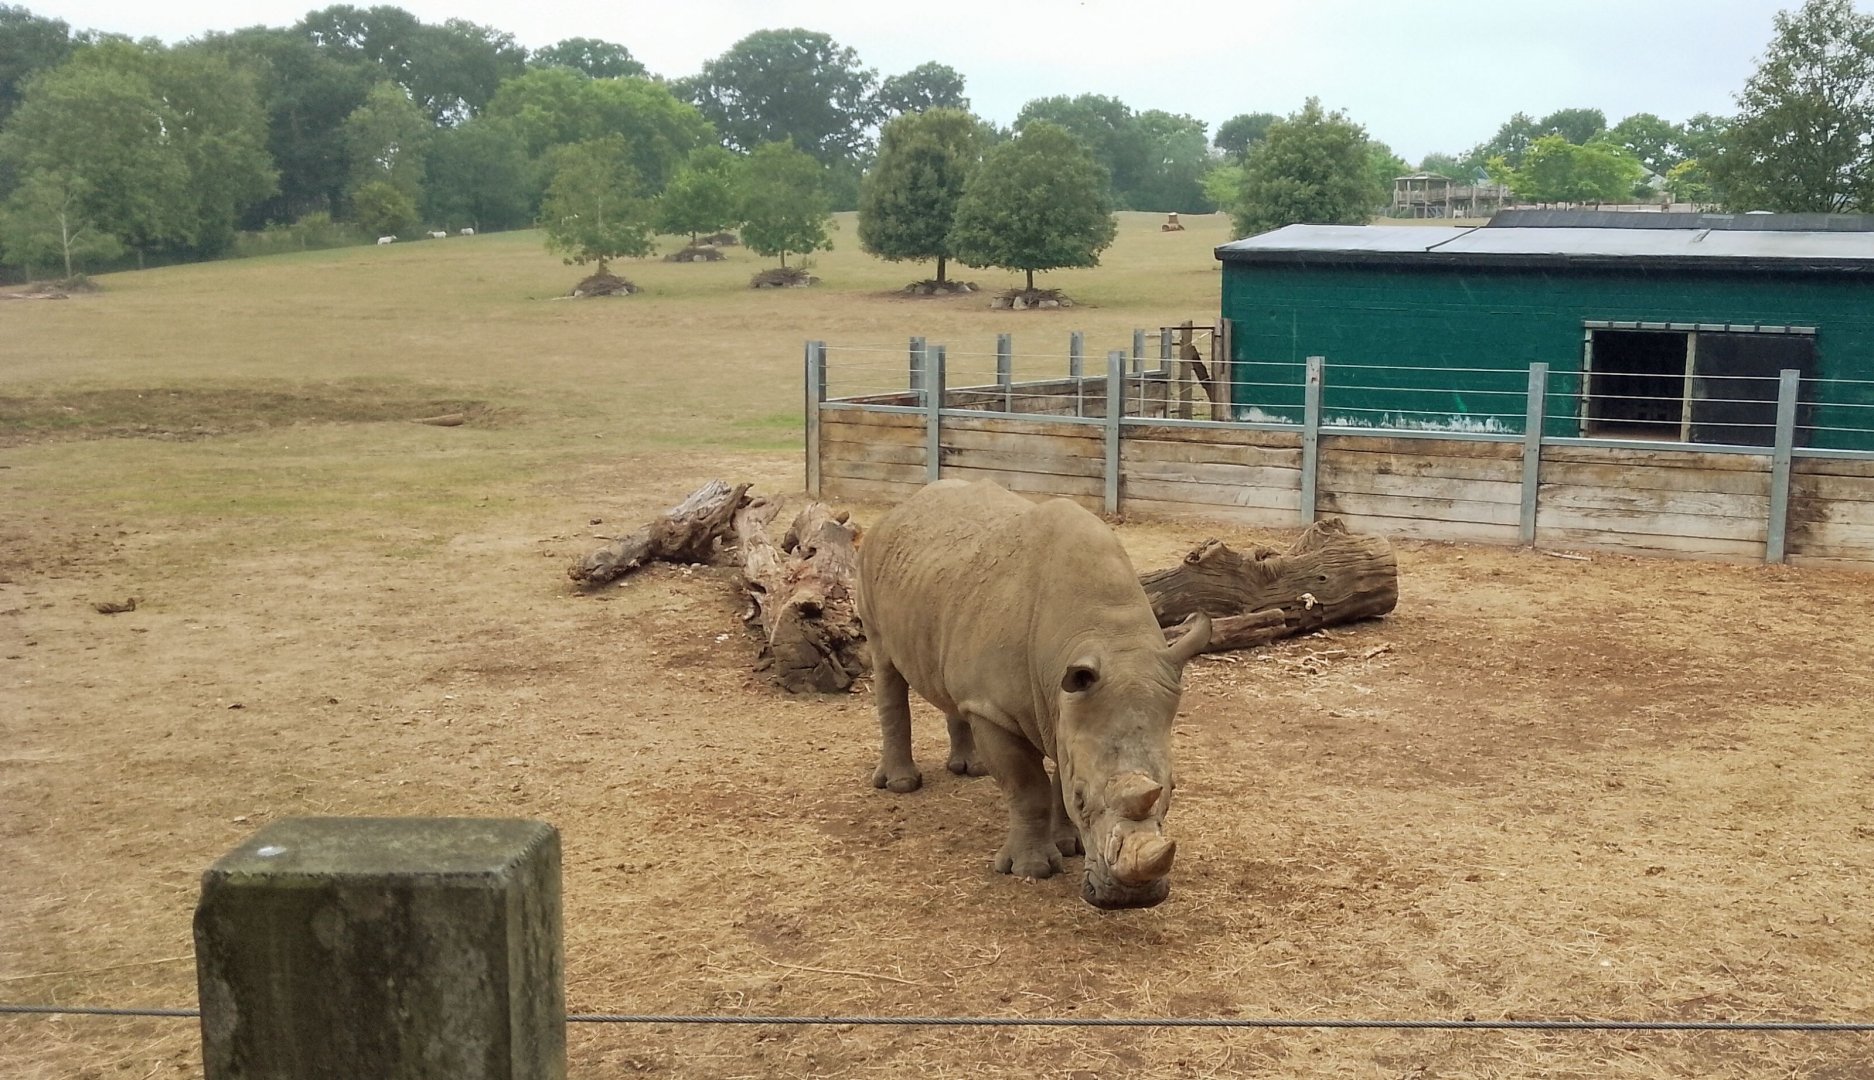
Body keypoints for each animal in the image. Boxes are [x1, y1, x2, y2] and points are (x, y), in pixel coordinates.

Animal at [857, 479, 1210, 909]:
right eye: (1082, 798)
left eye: (1172, 789)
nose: (1130, 899)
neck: (1102, 634)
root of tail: (901, 507)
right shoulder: (997, 710)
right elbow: (1028, 787)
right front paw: (1031, 870)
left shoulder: (1067, 706)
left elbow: (1058, 775)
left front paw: (1070, 846)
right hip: (871, 562)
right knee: (886, 665)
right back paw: (902, 786)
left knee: (954, 689)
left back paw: (970, 769)